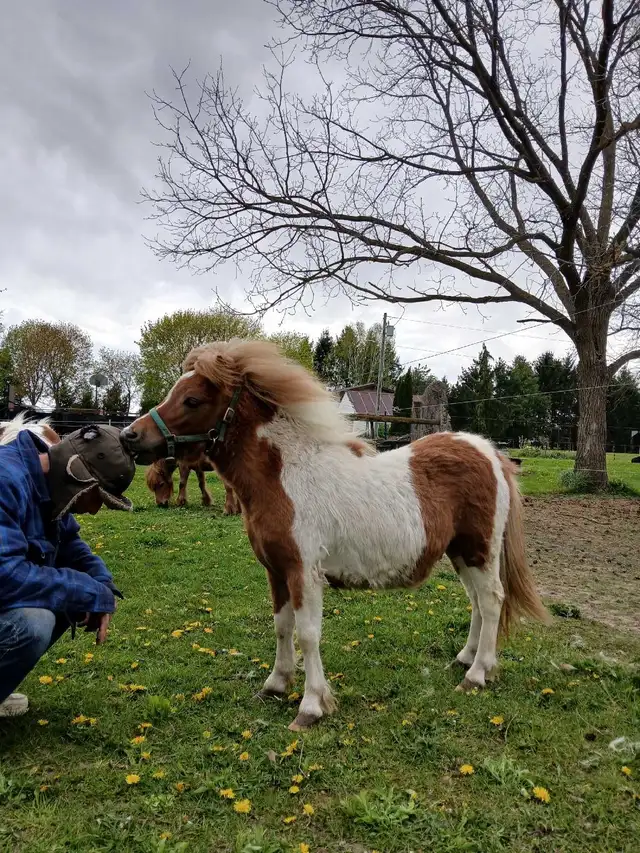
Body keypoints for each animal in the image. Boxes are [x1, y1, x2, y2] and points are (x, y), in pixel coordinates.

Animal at [122, 338, 549, 731]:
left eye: (192, 399)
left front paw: (310, 706)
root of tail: (489, 452)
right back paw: (466, 658)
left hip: (480, 549)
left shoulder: (303, 573)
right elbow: (282, 626)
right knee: (477, 602)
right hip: (461, 552)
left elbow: (308, 634)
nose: (129, 436)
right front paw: (275, 685)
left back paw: (476, 675)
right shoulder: (276, 571)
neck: (285, 475)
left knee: (491, 601)